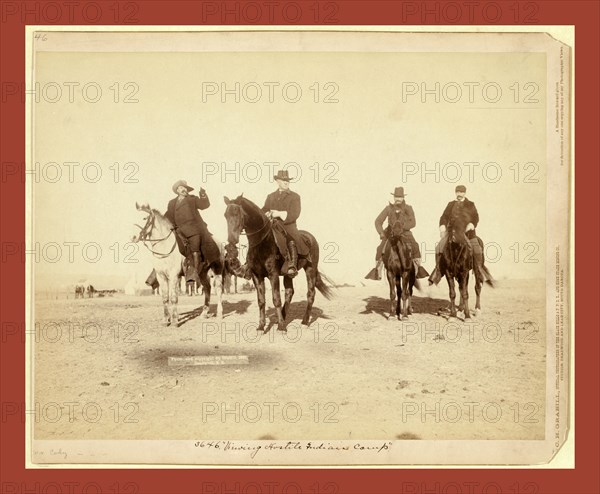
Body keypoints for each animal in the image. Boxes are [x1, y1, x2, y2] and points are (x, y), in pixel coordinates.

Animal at [223, 195, 332, 330]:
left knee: (310, 293)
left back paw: (304, 321)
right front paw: (261, 326)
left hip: (310, 269)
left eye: (237, 213)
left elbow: (276, 299)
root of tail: (310, 237)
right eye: (225, 215)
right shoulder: (257, 276)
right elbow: (261, 300)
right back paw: (283, 318)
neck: (262, 242)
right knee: (289, 292)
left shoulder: (273, 275)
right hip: (288, 274)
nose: (231, 240)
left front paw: (281, 327)